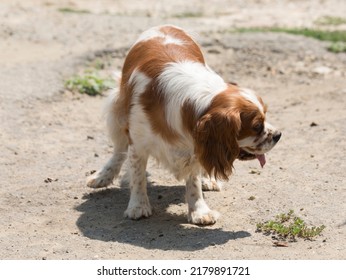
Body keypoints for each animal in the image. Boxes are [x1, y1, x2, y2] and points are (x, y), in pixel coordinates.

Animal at [87, 24, 282, 225]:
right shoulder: (138, 143)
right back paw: (103, 175)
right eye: (257, 126)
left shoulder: (195, 145)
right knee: (118, 151)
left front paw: (199, 210)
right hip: (117, 112)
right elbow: (138, 176)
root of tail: (165, 25)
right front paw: (138, 206)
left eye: (265, 116)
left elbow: (193, 182)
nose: (278, 135)